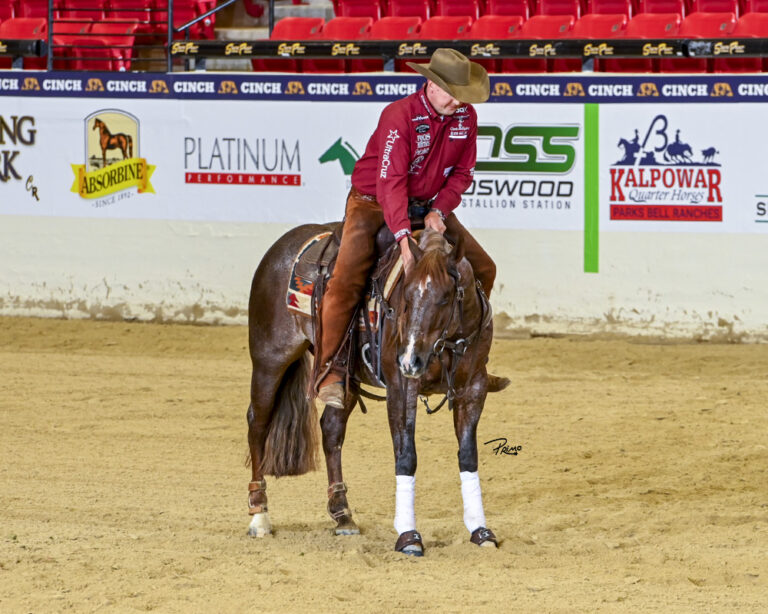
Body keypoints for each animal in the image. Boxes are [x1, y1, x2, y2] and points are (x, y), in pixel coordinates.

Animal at [245, 225, 505, 555]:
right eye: (406, 296)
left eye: (446, 298)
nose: (410, 360)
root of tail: (280, 246)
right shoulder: (401, 388)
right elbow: (406, 455)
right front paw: (408, 536)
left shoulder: (473, 389)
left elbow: (468, 455)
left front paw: (480, 531)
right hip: (270, 359)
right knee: (258, 424)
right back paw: (259, 515)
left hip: (343, 378)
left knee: (331, 430)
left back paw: (343, 515)